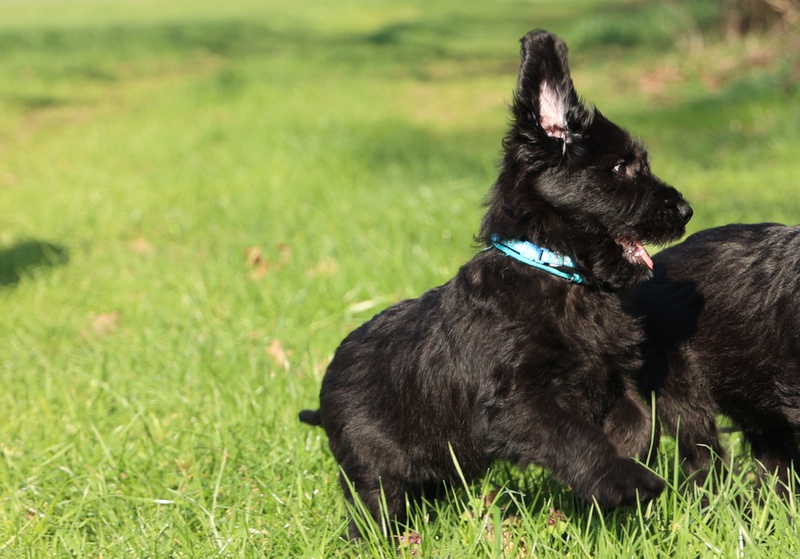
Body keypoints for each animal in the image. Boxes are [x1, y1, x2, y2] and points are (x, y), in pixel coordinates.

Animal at [300, 30, 692, 537]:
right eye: (622, 167)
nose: (686, 211)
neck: (556, 272)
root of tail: (325, 390)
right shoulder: (517, 402)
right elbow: (575, 435)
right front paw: (623, 480)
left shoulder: (612, 378)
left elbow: (641, 420)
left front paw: (620, 465)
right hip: (373, 474)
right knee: (372, 512)